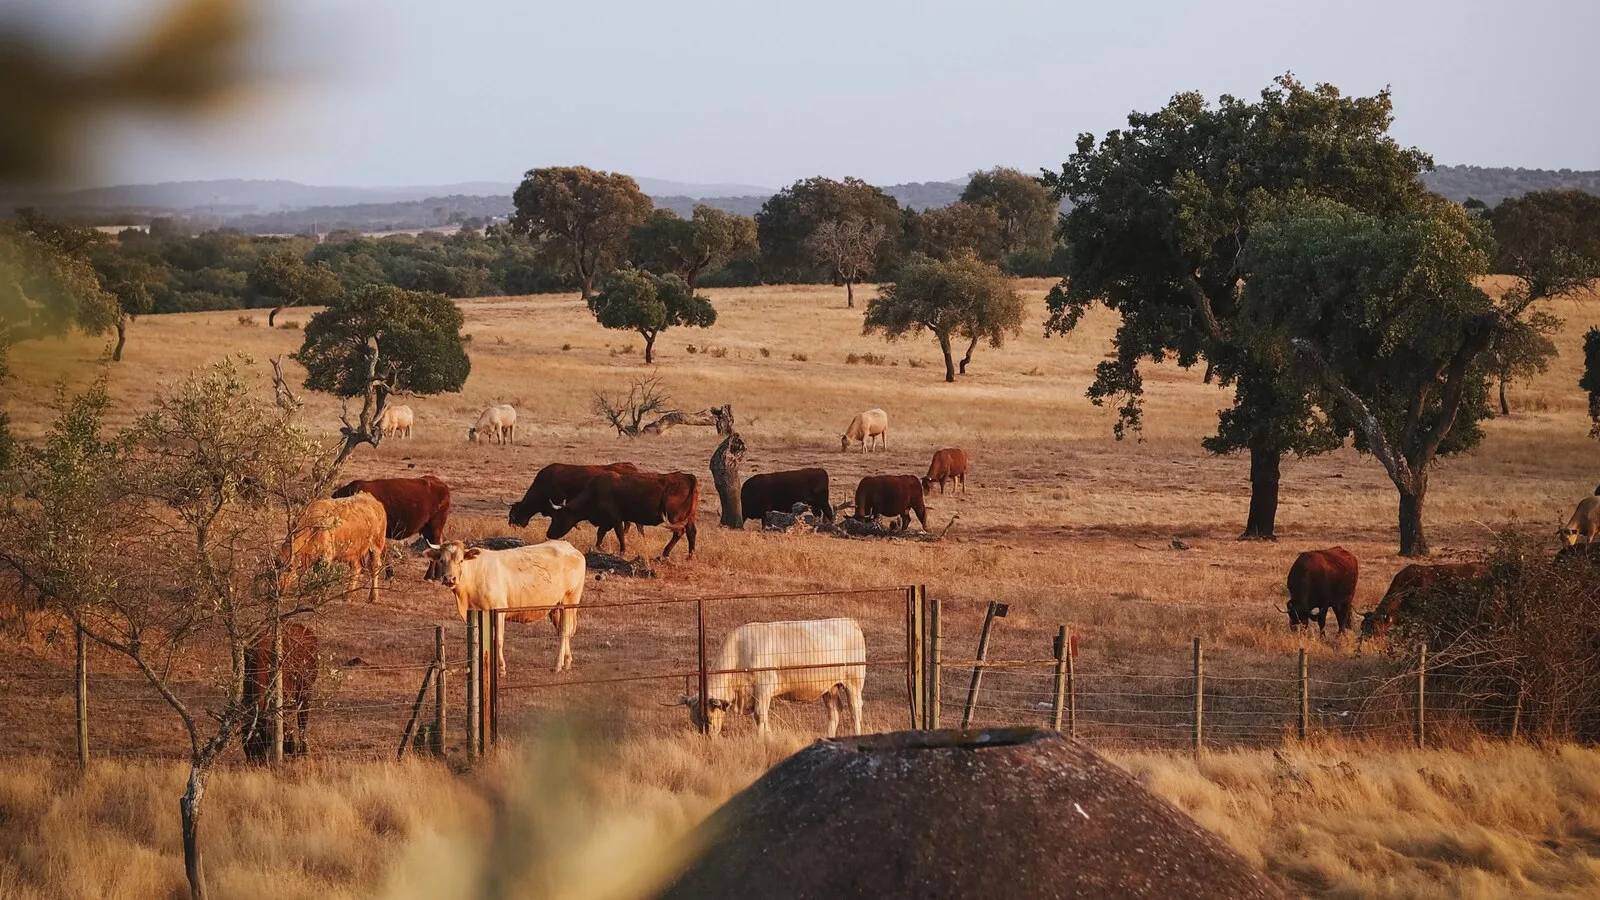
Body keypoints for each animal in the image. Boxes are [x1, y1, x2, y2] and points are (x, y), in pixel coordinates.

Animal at [240, 622, 319, 762]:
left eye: (261, 740)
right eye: (246, 745)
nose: (254, 762)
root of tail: (306, 631)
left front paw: (291, 747)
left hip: (305, 692)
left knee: (302, 719)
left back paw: (304, 750)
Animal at [424, 540, 586, 674]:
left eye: (461, 560)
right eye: (441, 560)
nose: (449, 578)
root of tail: (570, 547)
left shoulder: (498, 610)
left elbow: (498, 639)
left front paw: (501, 668)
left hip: (569, 601)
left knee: (564, 631)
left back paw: (557, 665)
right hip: (556, 607)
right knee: (564, 631)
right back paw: (567, 661)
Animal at [547, 471, 699, 559]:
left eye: (558, 517)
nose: (549, 534)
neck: (596, 491)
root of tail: (688, 477)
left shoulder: (615, 518)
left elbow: (619, 534)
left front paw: (622, 552)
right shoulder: (606, 521)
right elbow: (600, 534)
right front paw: (597, 547)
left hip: (675, 518)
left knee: (679, 532)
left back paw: (665, 553)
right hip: (690, 517)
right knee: (691, 532)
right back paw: (690, 556)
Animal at [680, 618, 866, 737]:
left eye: (708, 718)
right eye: (695, 721)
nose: (709, 740)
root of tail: (850, 621)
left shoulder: (764, 688)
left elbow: (760, 715)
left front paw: (764, 738)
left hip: (854, 683)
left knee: (855, 709)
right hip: (830, 688)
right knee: (834, 712)